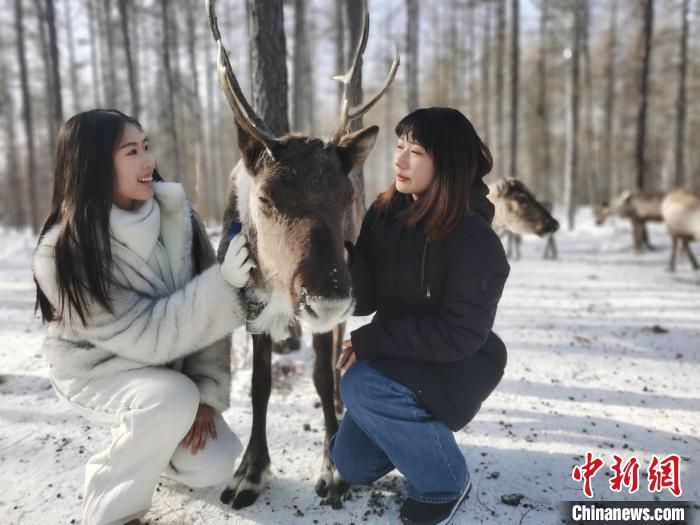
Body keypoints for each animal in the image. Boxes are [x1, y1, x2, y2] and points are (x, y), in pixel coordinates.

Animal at [205, 0, 399, 510]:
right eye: (265, 196)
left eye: (345, 198)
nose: (327, 297)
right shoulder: (253, 306)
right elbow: (260, 386)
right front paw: (249, 471)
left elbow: (321, 376)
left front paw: (332, 468)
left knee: (334, 364)